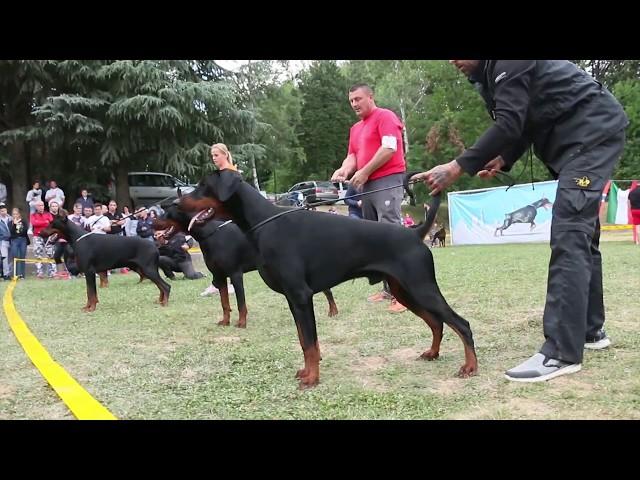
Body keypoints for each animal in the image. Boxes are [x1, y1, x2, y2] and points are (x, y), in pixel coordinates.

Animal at [39, 217, 170, 312]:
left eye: (52, 224)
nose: (40, 233)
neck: (78, 238)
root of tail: (154, 245)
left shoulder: (89, 272)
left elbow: (91, 292)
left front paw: (91, 308)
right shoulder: (90, 273)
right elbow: (90, 293)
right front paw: (87, 307)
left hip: (148, 269)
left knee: (166, 286)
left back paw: (165, 303)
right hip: (145, 270)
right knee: (161, 286)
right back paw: (160, 301)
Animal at [154, 204, 338, 328]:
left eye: (167, 211)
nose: (153, 223)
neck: (210, 234)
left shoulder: (235, 273)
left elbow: (240, 302)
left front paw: (241, 322)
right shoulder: (219, 276)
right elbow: (224, 302)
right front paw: (225, 321)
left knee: (327, 290)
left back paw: (333, 311)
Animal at [178, 171, 478, 388]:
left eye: (203, 186)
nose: (174, 201)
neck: (265, 223)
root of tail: (415, 233)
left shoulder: (300, 296)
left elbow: (310, 343)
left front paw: (312, 379)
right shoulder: (293, 300)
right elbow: (304, 341)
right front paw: (306, 372)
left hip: (421, 287)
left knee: (461, 323)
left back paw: (470, 367)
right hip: (404, 291)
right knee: (436, 322)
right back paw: (432, 353)